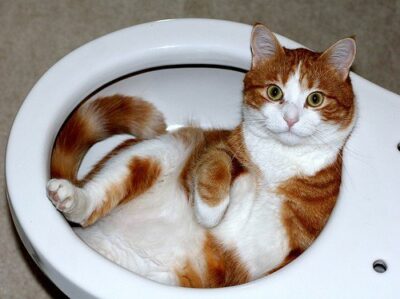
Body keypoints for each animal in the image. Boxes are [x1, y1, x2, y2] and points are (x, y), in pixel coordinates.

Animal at [45, 24, 354, 290]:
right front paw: (210, 211)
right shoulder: (221, 146)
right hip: (157, 150)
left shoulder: (300, 243)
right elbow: (217, 165)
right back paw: (71, 197)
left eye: (315, 99)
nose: (290, 118)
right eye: (274, 92)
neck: (277, 163)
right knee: (93, 202)